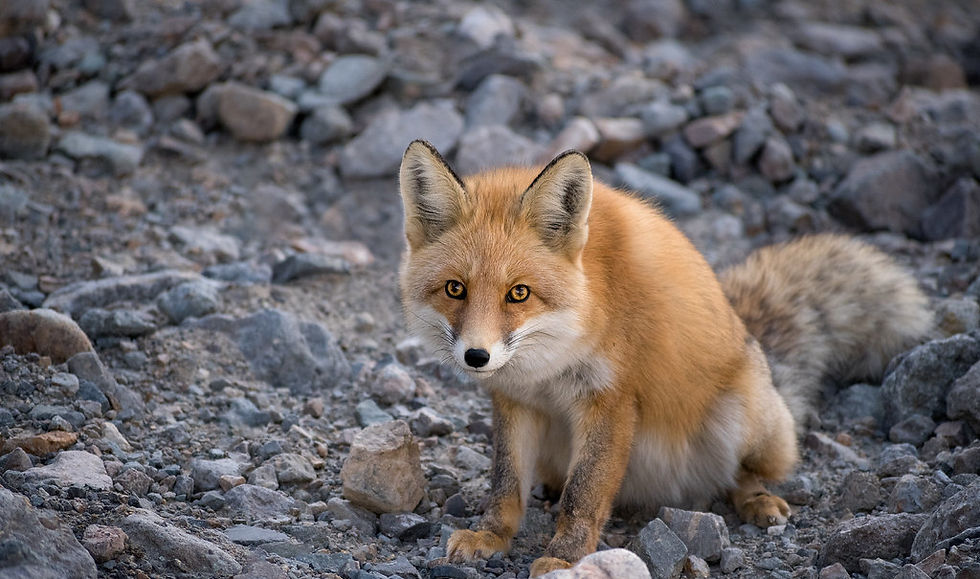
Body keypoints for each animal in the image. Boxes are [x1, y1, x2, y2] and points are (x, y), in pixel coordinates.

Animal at [396, 139, 933, 576]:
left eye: (519, 293)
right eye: (455, 289)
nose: (477, 356)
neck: (552, 358)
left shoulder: (611, 400)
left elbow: (585, 493)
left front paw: (565, 559)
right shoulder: (515, 400)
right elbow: (506, 484)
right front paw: (491, 536)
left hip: (741, 416)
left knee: (742, 474)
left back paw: (757, 500)